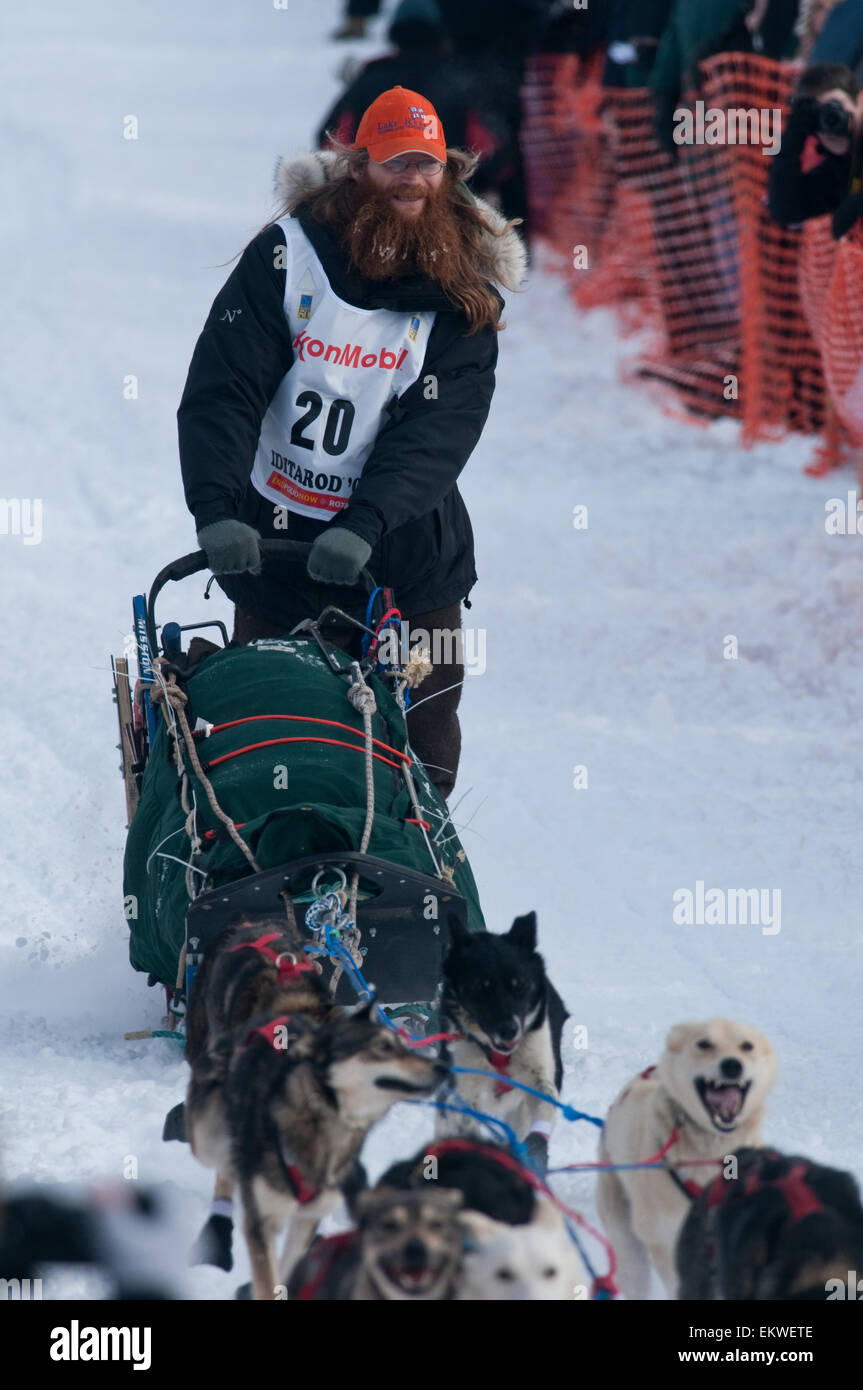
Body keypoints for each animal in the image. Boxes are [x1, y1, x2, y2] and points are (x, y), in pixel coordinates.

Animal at [186, 1000, 444, 1301]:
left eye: (403, 1045)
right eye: (382, 1046)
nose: (443, 1066)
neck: (326, 1118)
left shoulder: (307, 1219)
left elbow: (287, 1269)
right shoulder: (263, 1223)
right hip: (208, 1139)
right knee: (224, 1166)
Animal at [436, 911, 564, 1162]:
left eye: (520, 984)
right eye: (481, 987)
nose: (509, 1029)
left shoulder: (538, 1075)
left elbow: (546, 1099)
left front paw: (536, 1148)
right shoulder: (463, 1090)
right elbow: (464, 1120)